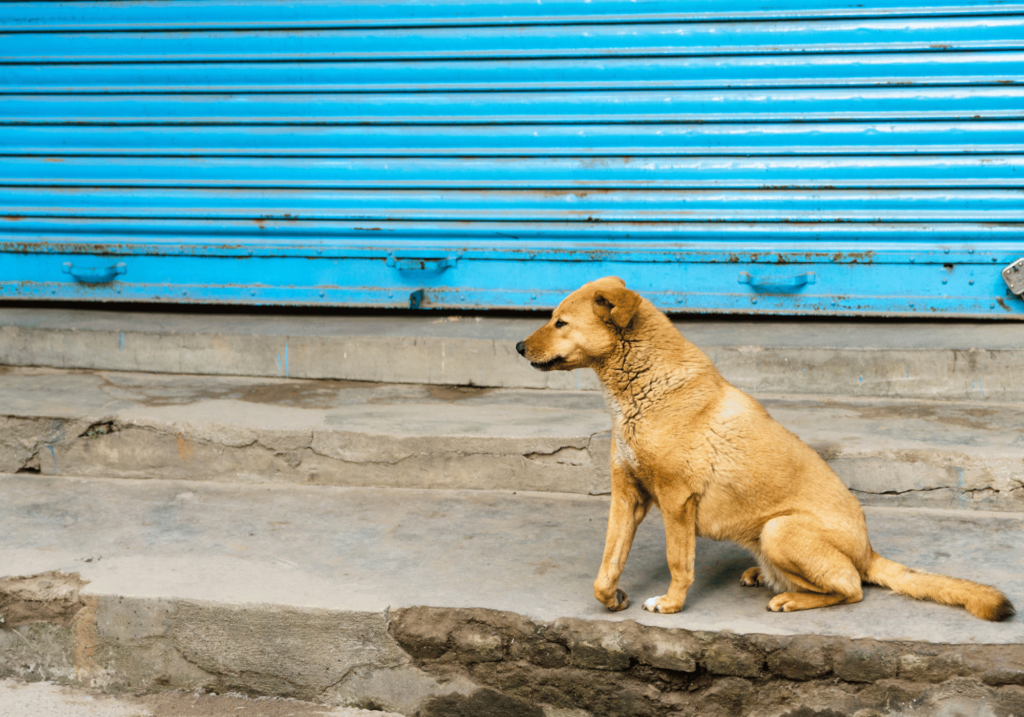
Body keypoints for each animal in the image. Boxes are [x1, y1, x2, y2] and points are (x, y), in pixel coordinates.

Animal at [516, 276, 1011, 618]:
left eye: (561, 322)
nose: (519, 346)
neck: (643, 388)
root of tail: (868, 552)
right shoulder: (628, 495)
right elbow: (607, 564)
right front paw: (613, 597)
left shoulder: (677, 500)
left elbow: (679, 562)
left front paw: (672, 604)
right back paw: (765, 577)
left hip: (779, 529)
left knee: (850, 587)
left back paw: (791, 599)